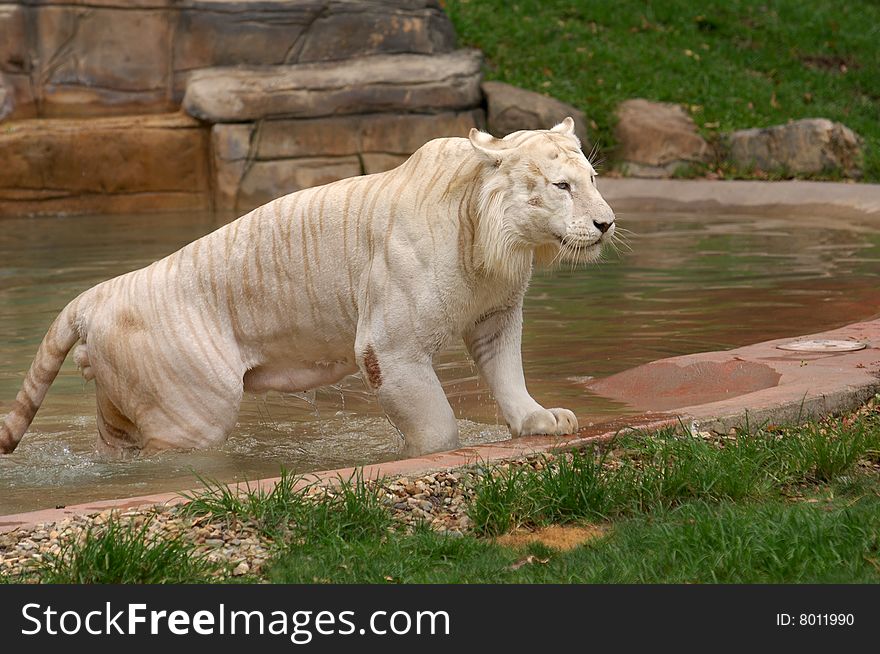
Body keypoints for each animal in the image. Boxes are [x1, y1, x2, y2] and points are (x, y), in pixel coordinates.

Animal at [1, 119, 612, 462]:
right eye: (562, 186)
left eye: (592, 180)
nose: (606, 223)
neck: (494, 240)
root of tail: (97, 293)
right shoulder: (390, 347)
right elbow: (436, 423)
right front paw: (431, 453)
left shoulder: (496, 315)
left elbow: (507, 372)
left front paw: (541, 421)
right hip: (191, 413)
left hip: (122, 411)